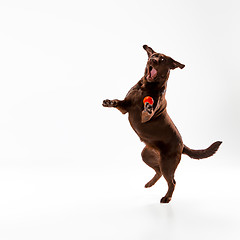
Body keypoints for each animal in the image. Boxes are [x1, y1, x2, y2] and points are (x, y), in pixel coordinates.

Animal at [102, 44, 222, 202]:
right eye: (154, 56)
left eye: (163, 59)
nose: (153, 60)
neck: (146, 86)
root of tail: (182, 145)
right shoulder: (125, 106)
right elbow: (118, 102)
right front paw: (109, 102)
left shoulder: (144, 114)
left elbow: (147, 112)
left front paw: (148, 107)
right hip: (147, 156)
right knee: (158, 171)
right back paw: (150, 183)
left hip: (167, 164)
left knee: (172, 181)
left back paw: (167, 198)